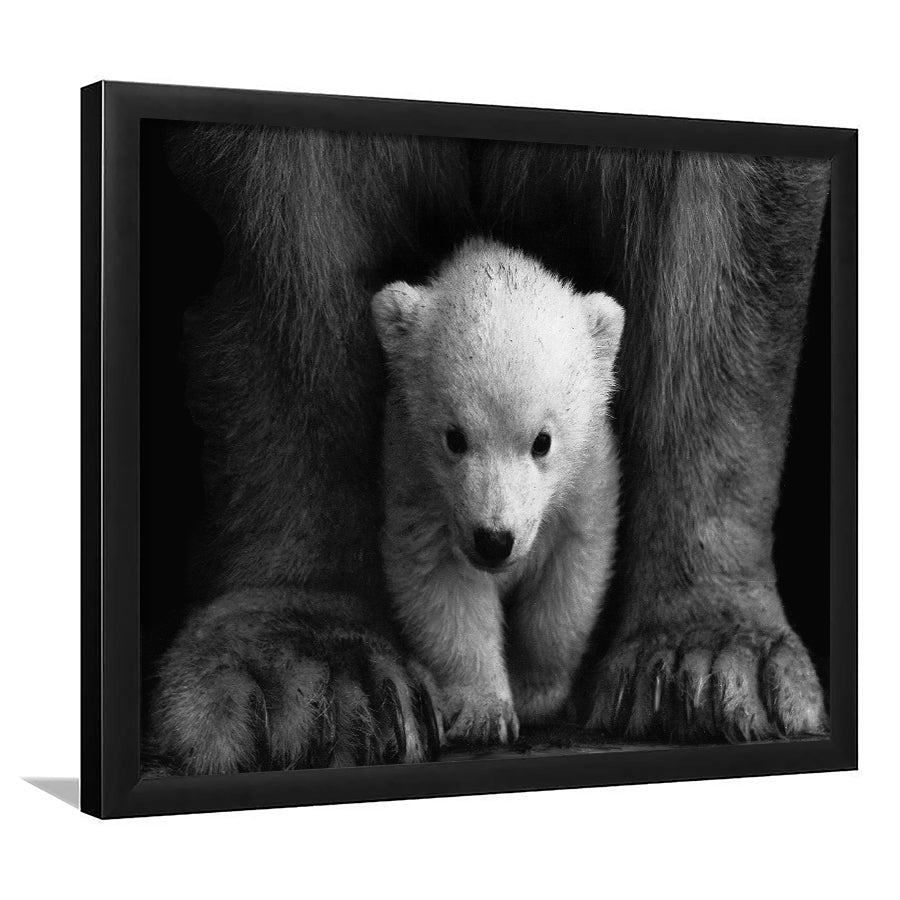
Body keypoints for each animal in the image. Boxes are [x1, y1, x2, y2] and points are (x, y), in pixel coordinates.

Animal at [372, 239, 624, 746]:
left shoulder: (586, 482)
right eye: (454, 437)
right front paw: (484, 713)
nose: (493, 541)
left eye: (542, 441)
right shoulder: (419, 485)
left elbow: (568, 583)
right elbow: (442, 584)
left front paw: (536, 693)